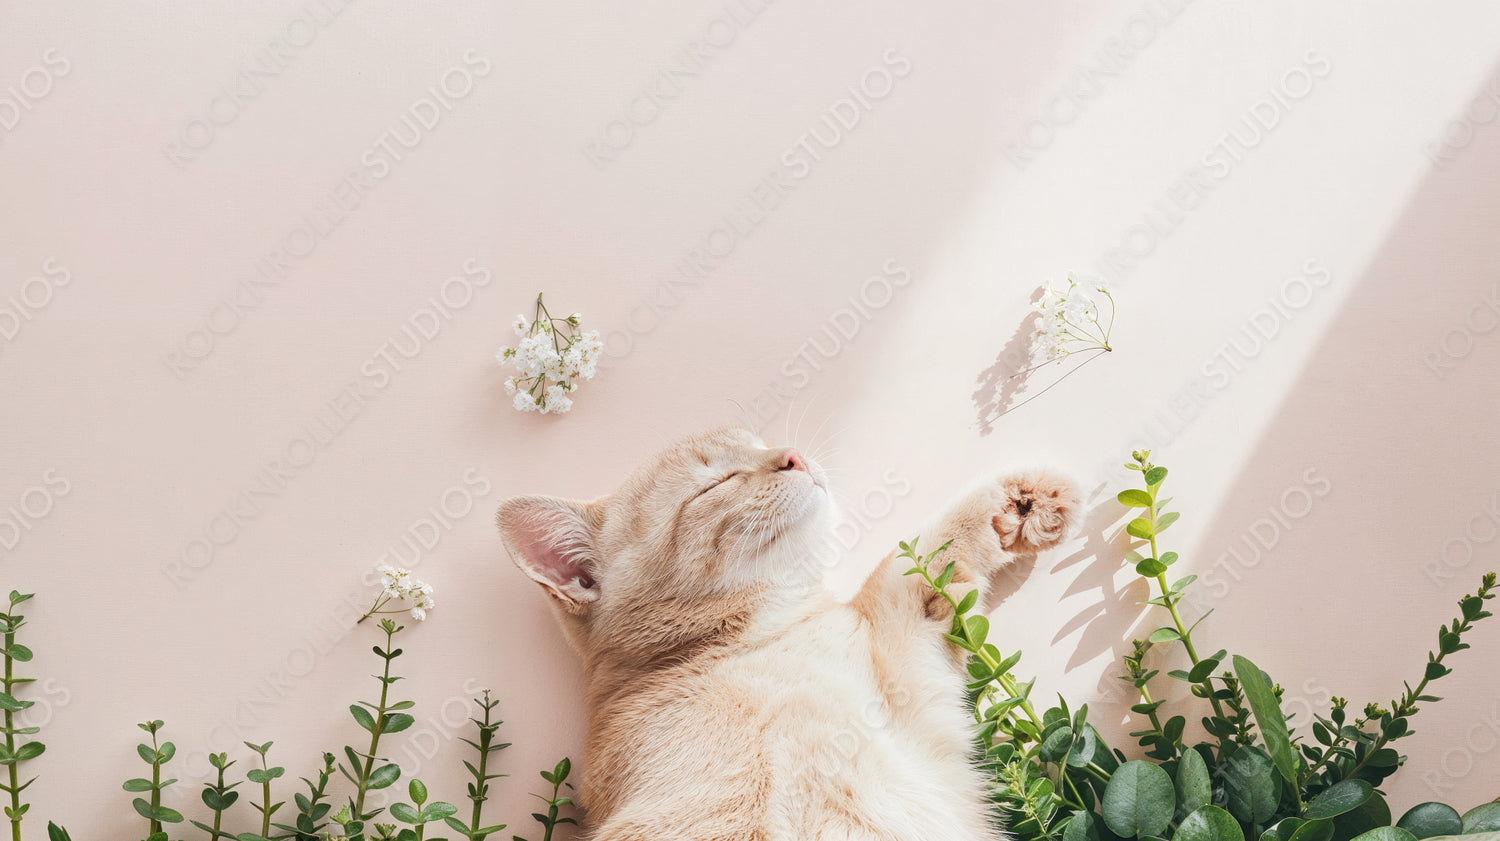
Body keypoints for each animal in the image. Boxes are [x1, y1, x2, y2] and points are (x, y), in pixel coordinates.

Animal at [501, 425, 1080, 839]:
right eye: (717, 482)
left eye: (760, 442)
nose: (794, 454)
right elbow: (904, 559)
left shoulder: (906, 678)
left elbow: (923, 555)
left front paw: (1022, 502)